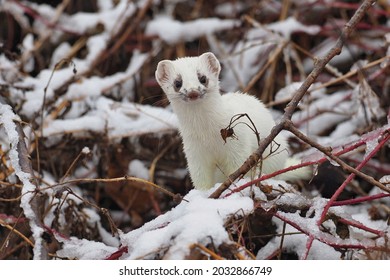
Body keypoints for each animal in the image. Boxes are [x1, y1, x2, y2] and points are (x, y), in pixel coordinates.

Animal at [155, 52, 310, 190]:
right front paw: (203, 194)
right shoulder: (194, 151)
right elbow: (200, 177)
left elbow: (238, 167)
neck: (207, 133)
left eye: (203, 78)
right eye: (177, 83)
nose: (193, 92)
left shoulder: (238, 145)